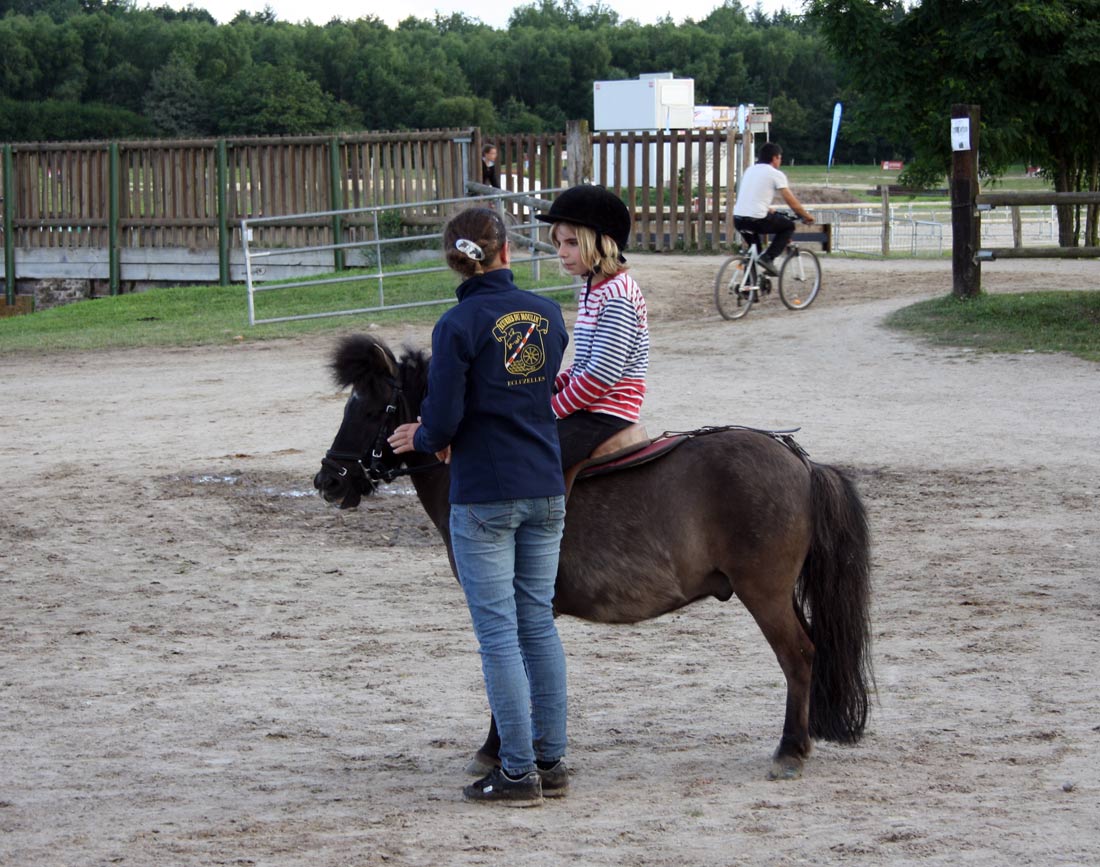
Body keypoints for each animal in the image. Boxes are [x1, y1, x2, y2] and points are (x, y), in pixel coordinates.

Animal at [314, 332, 871, 778]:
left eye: (370, 410)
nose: (328, 480)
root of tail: (800, 463)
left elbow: (509, 671)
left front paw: (497, 751)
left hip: (765, 594)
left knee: (799, 657)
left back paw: (790, 750)